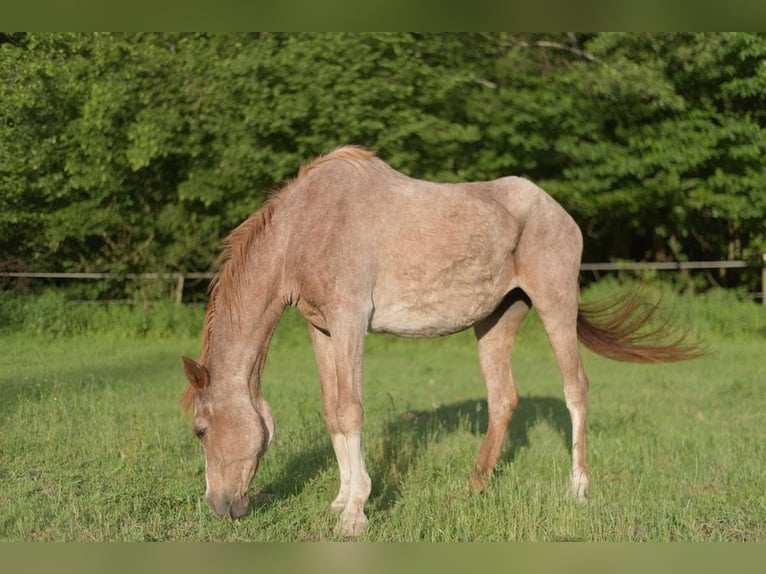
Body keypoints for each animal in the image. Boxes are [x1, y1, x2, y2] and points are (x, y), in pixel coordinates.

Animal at [180, 146, 702, 537]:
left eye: (200, 430)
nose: (221, 505)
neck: (306, 227)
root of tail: (561, 214)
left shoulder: (350, 323)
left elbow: (350, 412)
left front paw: (355, 514)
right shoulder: (322, 329)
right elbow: (332, 414)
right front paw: (341, 501)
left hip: (556, 306)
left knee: (576, 390)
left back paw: (578, 490)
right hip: (498, 318)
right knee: (503, 398)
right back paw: (475, 487)